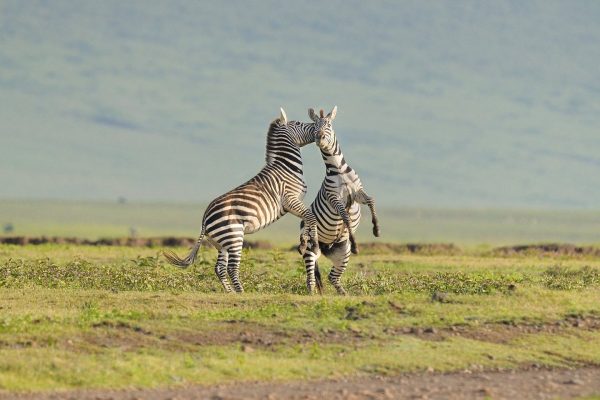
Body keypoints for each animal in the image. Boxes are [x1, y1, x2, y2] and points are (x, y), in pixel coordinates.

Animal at [162, 108, 322, 292]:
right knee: (231, 268)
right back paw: (241, 292)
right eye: (298, 123)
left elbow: (307, 219)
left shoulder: (293, 204)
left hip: (222, 243)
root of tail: (204, 219)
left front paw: (304, 242)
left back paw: (231, 292)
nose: (317, 130)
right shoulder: (290, 199)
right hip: (234, 236)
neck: (286, 167)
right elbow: (311, 217)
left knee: (219, 268)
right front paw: (314, 244)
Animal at [300, 106, 380, 294]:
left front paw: (376, 229)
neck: (339, 170)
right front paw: (356, 243)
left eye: (328, 125)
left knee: (332, 277)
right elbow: (345, 217)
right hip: (310, 249)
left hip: (343, 252)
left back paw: (343, 293)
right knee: (310, 276)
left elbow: (371, 201)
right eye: (314, 126)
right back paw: (312, 293)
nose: (319, 137)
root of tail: (324, 248)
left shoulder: (357, 192)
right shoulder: (334, 198)